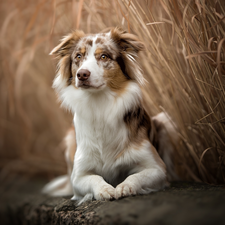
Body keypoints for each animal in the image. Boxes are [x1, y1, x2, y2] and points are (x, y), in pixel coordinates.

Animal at [42, 26, 178, 204]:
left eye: (104, 56)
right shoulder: (78, 176)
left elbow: (136, 176)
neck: (100, 104)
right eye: (78, 56)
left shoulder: (157, 168)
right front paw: (105, 189)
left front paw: (125, 187)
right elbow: (94, 178)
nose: (82, 74)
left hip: (165, 122)